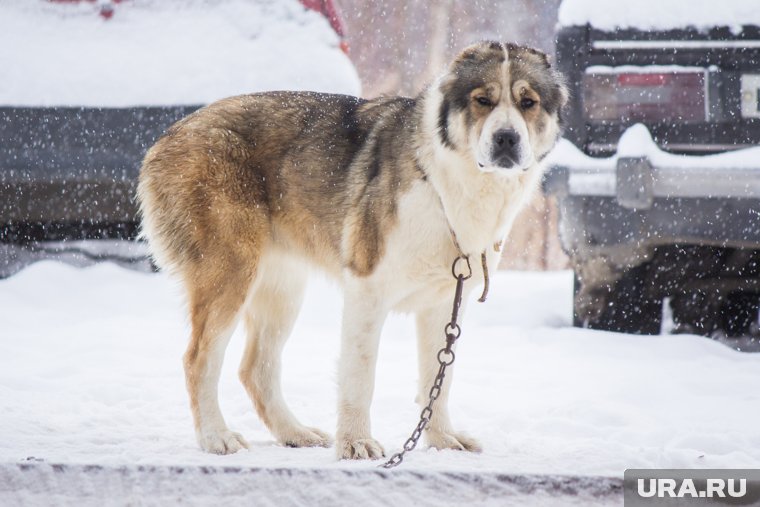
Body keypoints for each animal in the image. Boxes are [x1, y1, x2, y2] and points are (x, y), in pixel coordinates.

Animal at [137, 40, 568, 460]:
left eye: (528, 102)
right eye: (483, 100)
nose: (507, 138)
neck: (446, 181)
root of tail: (168, 135)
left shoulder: (444, 303)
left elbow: (438, 377)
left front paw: (442, 440)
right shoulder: (367, 290)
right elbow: (361, 377)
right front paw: (356, 443)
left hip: (282, 287)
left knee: (256, 369)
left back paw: (294, 433)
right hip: (231, 274)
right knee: (199, 359)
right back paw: (216, 437)